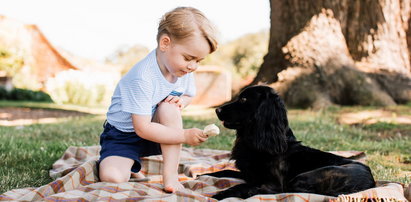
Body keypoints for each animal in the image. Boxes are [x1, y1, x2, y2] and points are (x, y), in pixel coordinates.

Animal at [206, 85, 376, 199]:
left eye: (243, 99)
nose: (217, 110)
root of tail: (371, 183)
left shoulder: (272, 183)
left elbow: (242, 186)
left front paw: (218, 195)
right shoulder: (248, 174)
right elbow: (222, 172)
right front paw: (203, 175)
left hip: (306, 176)